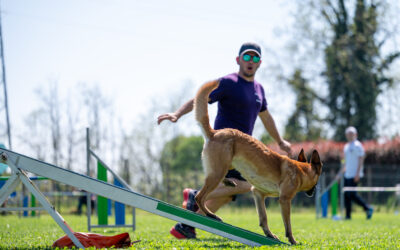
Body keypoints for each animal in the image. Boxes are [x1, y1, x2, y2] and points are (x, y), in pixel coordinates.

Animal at [193, 79, 322, 244]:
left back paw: (228, 183)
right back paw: (211, 214)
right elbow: (288, 225)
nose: (314, 192)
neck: (301, 170)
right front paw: (292, 241)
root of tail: (215, 133)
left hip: (225, 166)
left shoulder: (258, 193)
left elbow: (263, 218)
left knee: (215, 184)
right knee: (199, 197)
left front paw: (269, 234)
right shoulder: (284, 200)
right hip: (218, 171)